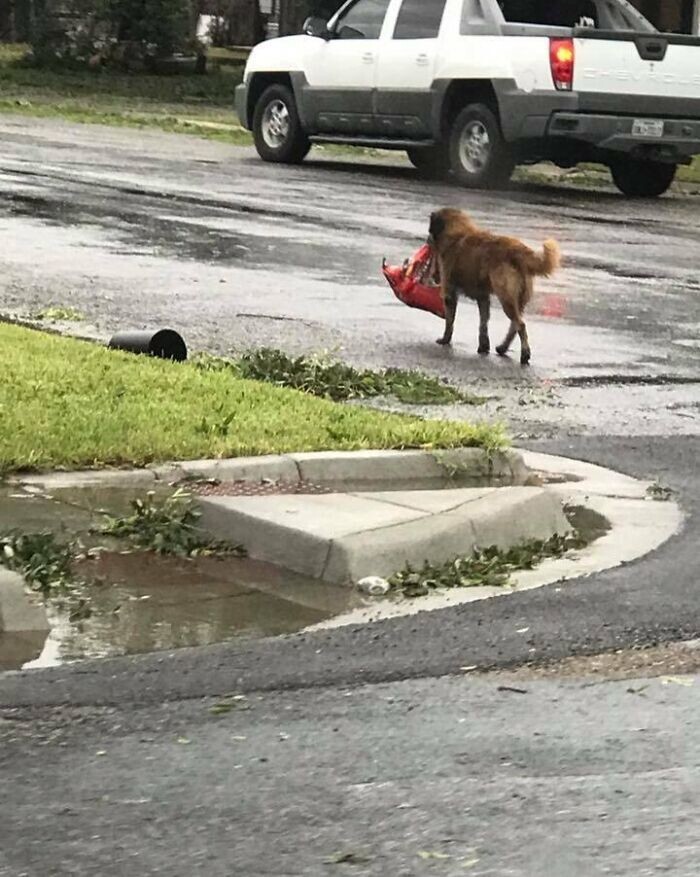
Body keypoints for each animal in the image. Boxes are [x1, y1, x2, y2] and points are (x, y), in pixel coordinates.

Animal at [424, 208, 560, 362]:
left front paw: (445, 340)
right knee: (515, 325)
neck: (457, 232)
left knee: (520, 324)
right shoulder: (483, 297)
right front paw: (483, 346)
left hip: (506, 298)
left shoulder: (450, 293)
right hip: (518, 300)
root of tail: (518, 250)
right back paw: (503, 347)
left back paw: (524, 354)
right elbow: (483, 323)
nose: (427, 239)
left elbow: (450, 321)